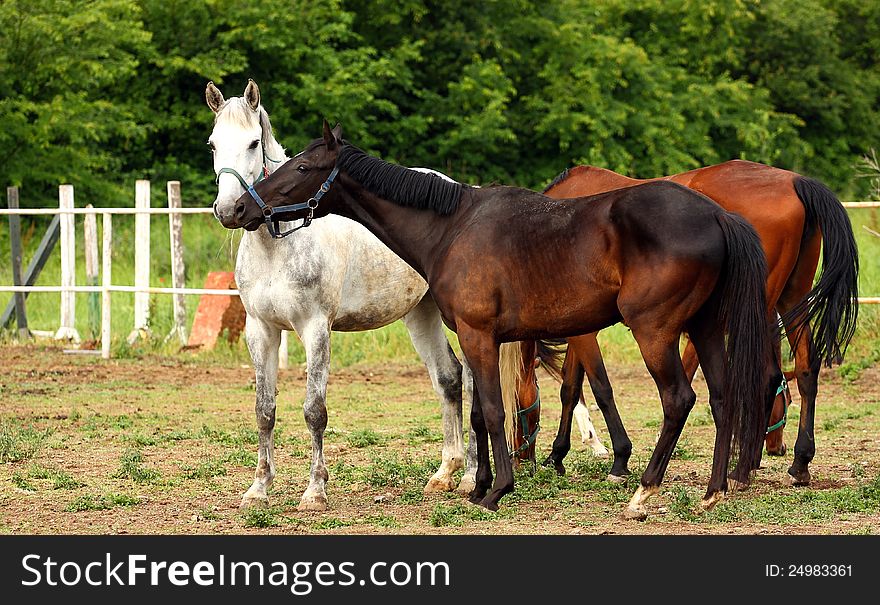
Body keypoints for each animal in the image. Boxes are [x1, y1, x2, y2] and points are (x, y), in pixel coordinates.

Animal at [206, 81, 478, 510]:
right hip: (420, 314)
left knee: (471, 383)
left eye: (253, 142)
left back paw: (469, 478)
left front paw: (315, 491)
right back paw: (443, 474)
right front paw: (258, 488)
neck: (278, 245)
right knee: (448, 378)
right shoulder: (261, 329)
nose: (232, 209)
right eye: (213, 144)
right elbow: (264, 410)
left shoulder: (316, 328)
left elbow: (314, 411)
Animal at [230, 122, 772, 520]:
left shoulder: (478, 335)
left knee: (679, 400)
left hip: (655, 332)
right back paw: (712, 491)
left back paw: (643, 494)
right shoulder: (476, 339)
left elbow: (492, 410)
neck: (452, 225)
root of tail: (716, 215)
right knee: (723, 398)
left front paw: (496, 491)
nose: (237, 208)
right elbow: (475, 411)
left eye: (302, 166)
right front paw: (478, 485)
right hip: (705, 328)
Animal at [508, 159, 860, 486]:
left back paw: (741, 468)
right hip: (791, 299)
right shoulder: (578, 328)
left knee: (762, 377)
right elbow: (570, 388)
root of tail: (795, 181)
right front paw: (558, 455)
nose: (521, 460)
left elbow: (599, 388)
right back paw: (797, 462)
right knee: (805, 369)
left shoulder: (584, 331)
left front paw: (619, 458)